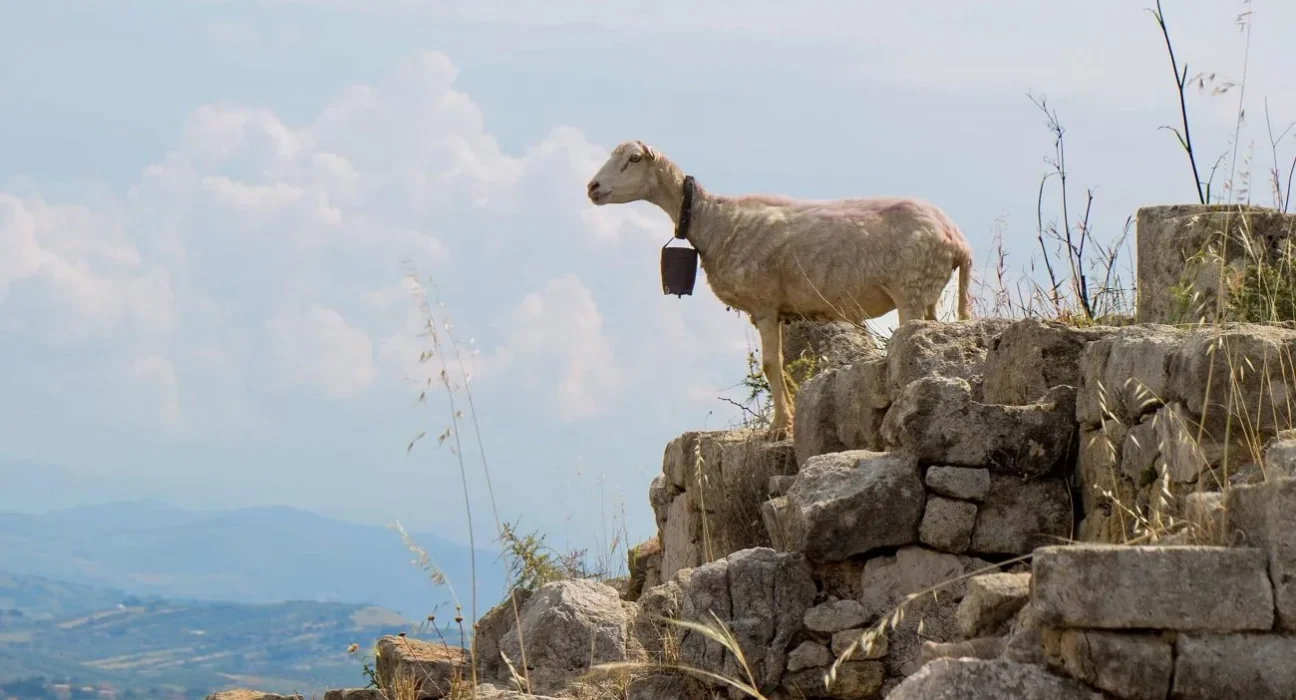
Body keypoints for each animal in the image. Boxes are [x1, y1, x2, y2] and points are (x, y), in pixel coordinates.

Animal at [588, 139, 974, 440]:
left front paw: (778, 427)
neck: (716, 222)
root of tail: (956, 238)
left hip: (911, 288)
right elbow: (781, 364)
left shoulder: (764, 303)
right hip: (927, 291)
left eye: (633, 159)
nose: (592, 188)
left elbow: (772, 364)